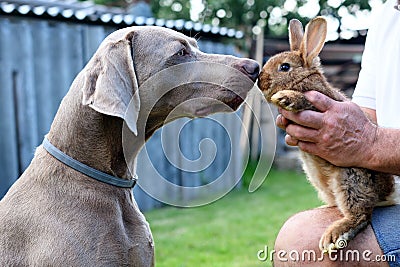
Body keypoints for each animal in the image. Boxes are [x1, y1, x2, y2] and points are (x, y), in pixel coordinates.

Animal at [258, 16, 396, 253]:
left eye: (284, 67)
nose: (260, 81)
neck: (303, 80)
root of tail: (387, 192)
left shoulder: (318, 103)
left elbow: (304, 101)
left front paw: (285, 97)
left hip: (350, 177)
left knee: (362, 215)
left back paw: (334, 236)